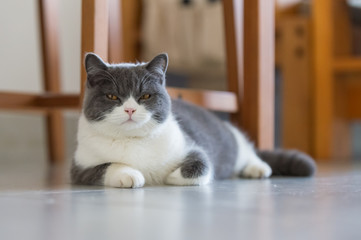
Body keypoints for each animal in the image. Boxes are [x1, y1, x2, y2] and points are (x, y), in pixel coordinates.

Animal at [71, 52, 316, 188]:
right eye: (112, 96)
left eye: (145, 96)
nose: (130, 109)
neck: (133, 141)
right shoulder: (79, 168)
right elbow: (105, 167)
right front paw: (130, 174)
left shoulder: (191, 146)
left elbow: (202, 165)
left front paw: (171, 177)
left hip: (232, 139)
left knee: (247, 151)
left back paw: (257, 168)